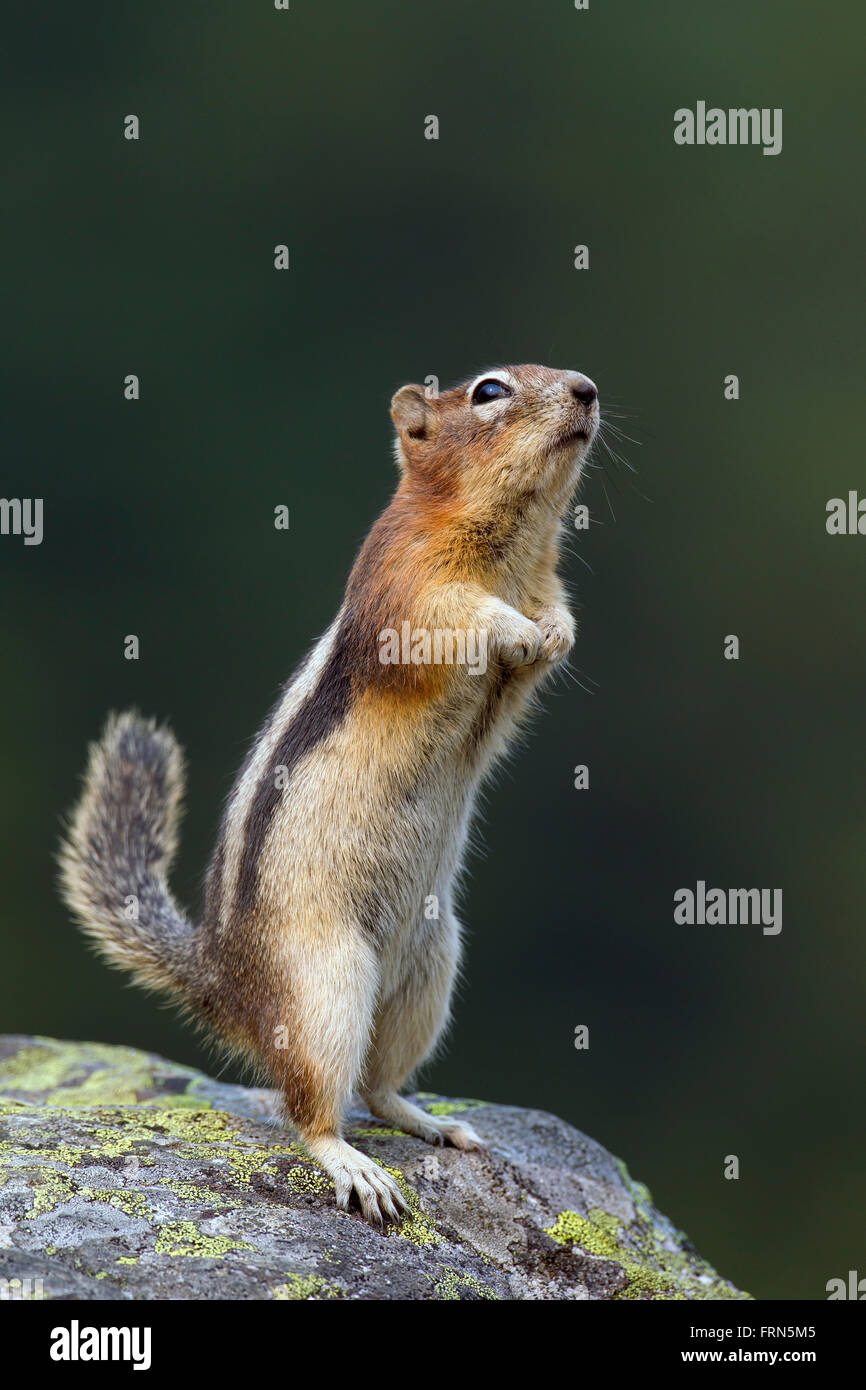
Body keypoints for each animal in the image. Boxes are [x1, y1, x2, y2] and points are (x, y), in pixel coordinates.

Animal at [61, 364, 600, 1223]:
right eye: (488, 391)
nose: (586, 389)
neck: (512, 541)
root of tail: (225, 985)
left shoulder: (539, 590)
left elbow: (551, 629)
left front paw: (552, 632)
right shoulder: (405, 585)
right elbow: (457, 618)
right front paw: (513, 626)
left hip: (429, 966)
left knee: (377, 1087)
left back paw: (432, 1122)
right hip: (324, 984)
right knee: (309, 1105)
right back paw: (352, 1166)